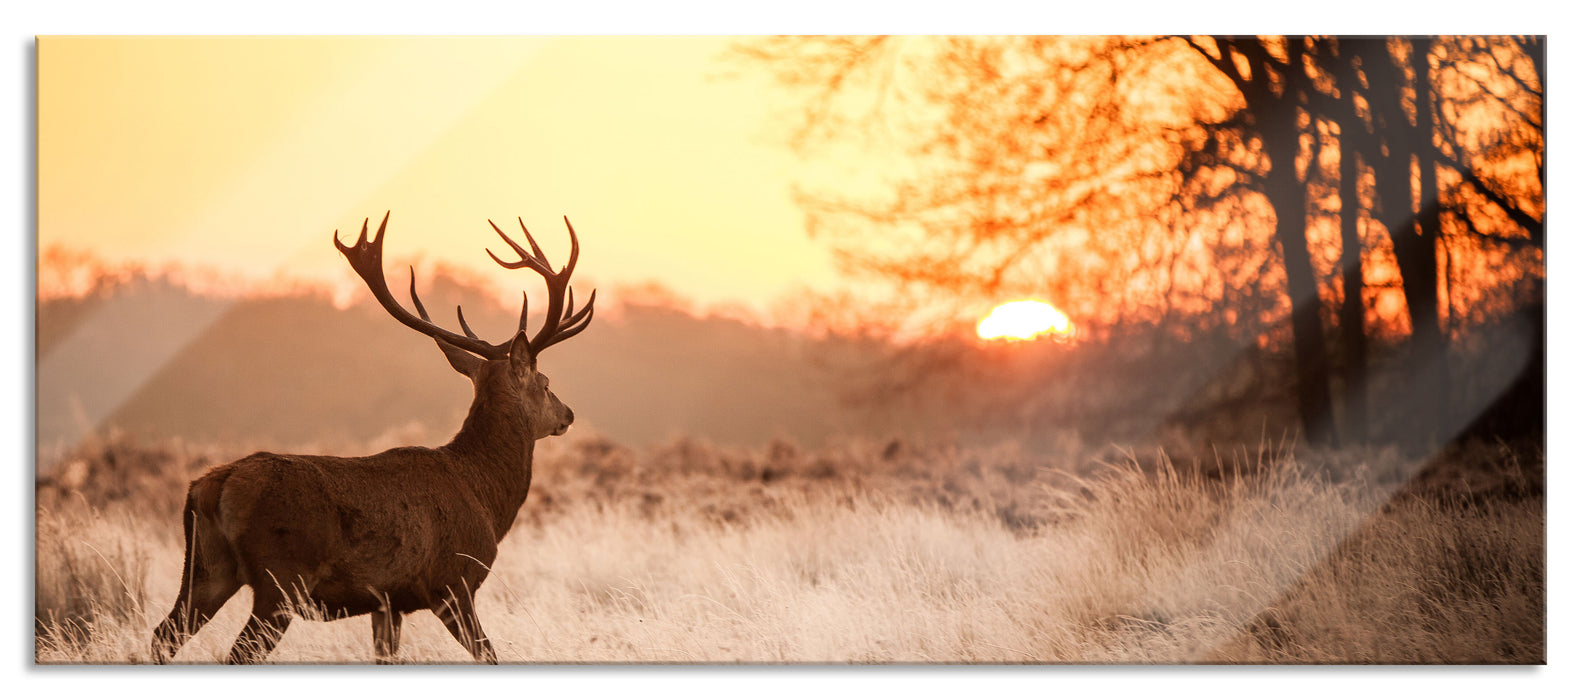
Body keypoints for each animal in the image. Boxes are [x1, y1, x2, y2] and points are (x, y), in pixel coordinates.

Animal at [148, 212, 594, 664]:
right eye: (545, 382)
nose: (568, 414)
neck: (484, 495)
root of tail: (211, 486)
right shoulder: (452, 583)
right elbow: (488, 654)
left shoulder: (387, 602)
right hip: (281, 578)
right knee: (239, 651)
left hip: (206, 570)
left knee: (163, 634)